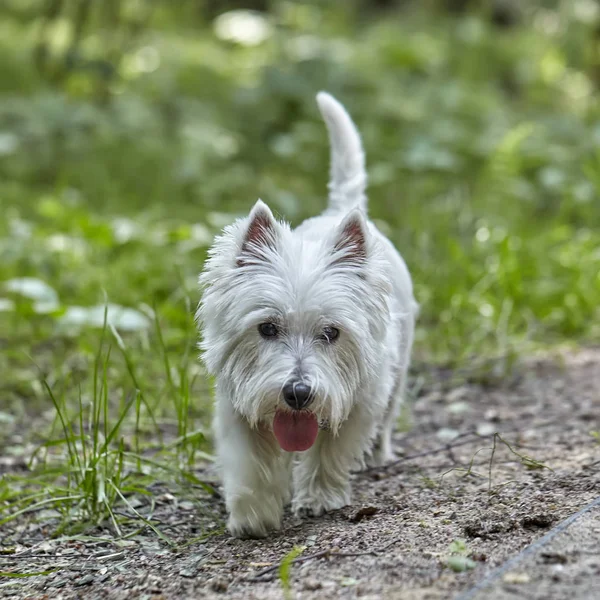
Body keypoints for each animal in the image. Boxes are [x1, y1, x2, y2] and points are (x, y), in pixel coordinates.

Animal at [197, 94, 418, 540]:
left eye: (331, 333)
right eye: (266, 328)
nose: (298, 393)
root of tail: (340, 210)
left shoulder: (361, 400)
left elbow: (331, 449)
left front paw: (318, 497)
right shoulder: (236, 404)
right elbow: (249, 462)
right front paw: (252, 515)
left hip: (399, 369)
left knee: (387, 418)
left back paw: (379, 454)